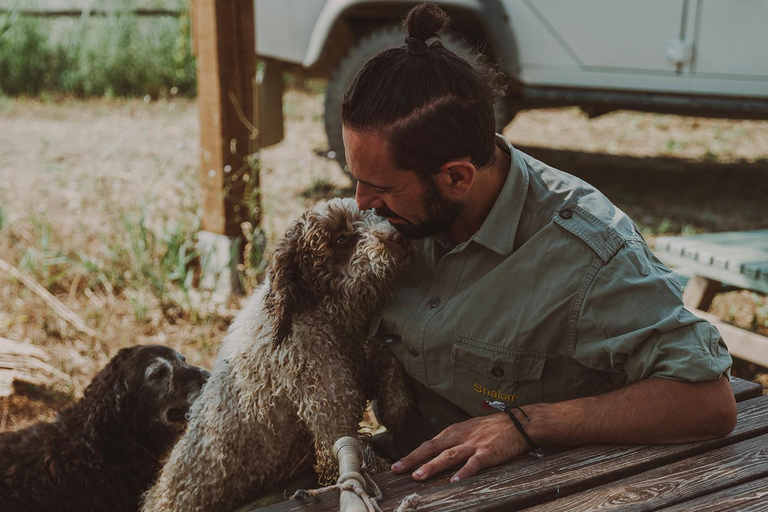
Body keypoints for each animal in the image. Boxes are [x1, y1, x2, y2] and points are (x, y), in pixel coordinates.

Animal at [142, 198, 414, 512]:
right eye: (342, 238)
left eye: (375, 214)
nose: (399, 237)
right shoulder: (327, 406)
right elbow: (351, 457)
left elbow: (391, 367)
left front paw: (399, 405)